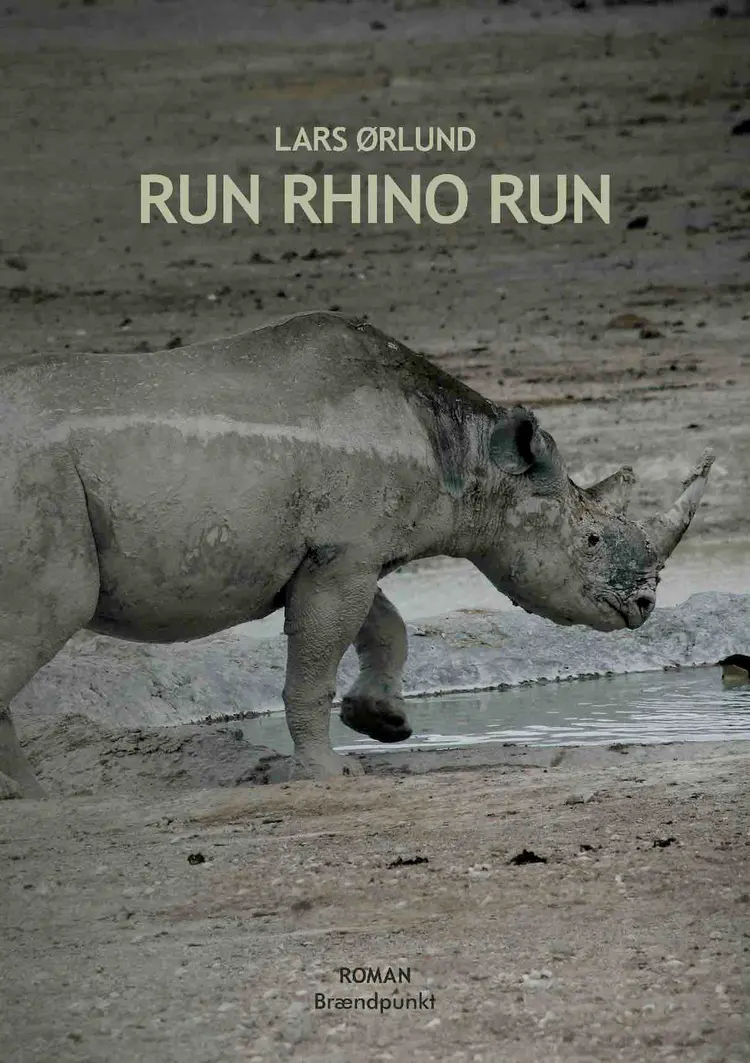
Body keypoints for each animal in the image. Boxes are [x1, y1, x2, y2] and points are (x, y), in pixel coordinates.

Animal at [0, 310, 713, 796]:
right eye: (588, 541)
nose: (643, 605)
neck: (469, 458)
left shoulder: (350, 552)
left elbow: (386, 627)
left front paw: (383, 723)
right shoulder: (341, 557)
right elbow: (314, 668)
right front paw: (328, 774)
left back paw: (33, 799)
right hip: (36, 484)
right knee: (46, 613)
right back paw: (33, 801)